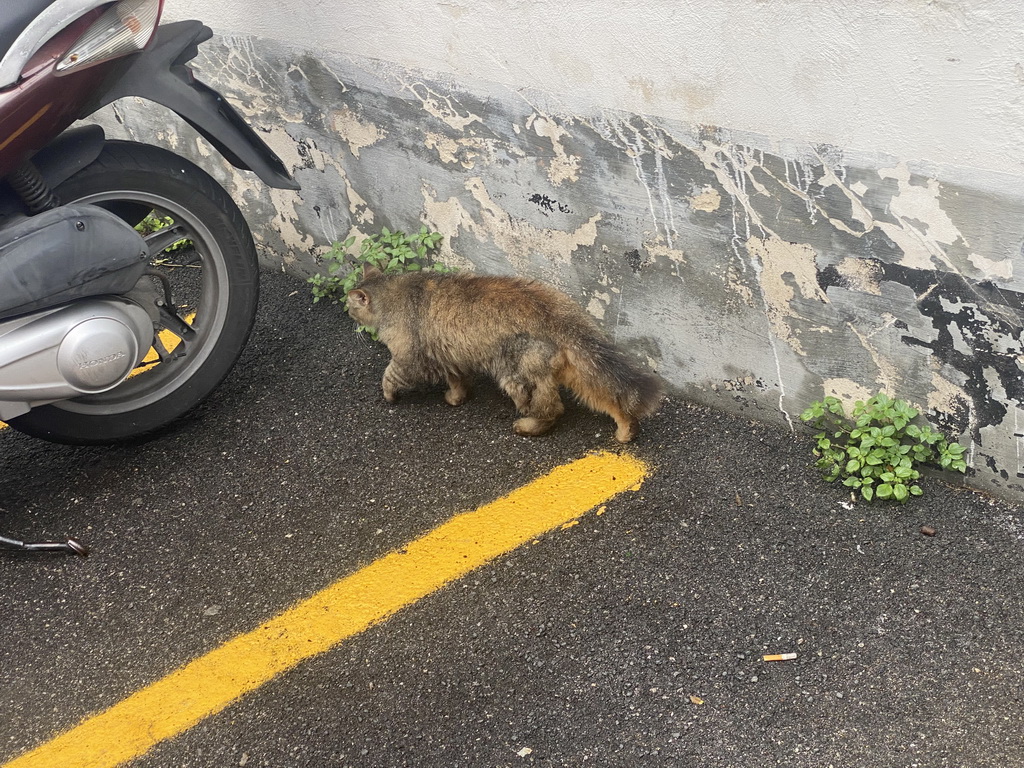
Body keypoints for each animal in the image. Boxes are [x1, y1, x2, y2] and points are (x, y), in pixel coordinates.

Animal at [346, 268, 663, 442]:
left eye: (351, 306)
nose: (347, 312)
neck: (394, 293)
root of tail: (561, 317)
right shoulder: (450, 356)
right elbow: (458, 382)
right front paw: (456, 398)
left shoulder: (409, 357)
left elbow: (389, 375)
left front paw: (388, 395)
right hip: (574, 370)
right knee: (610, 398)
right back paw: (626, 430)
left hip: (517, 372)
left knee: (552, 409)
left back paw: (528, 426)